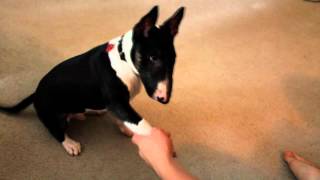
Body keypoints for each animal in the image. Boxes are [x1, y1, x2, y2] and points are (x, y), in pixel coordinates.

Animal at [0, 6, 185, 155]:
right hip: (53, 116)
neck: (124, 59)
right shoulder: (117, 101)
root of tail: (35, 94)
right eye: (153, 57)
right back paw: (70, 143)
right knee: (56, 131)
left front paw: (126, 128)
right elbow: (142, 124)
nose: (164, 99)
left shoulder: (118, 105)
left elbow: (125, 118)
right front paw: (162, 147)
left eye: (174, 59)